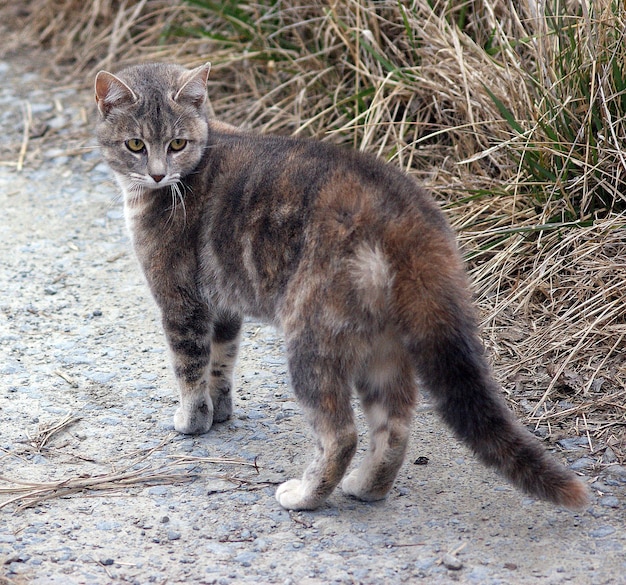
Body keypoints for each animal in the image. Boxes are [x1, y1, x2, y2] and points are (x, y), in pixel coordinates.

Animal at [92, 62, 584, 512]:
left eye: (177, 144)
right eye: (136, 144)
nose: (158, 174)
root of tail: (407, 214)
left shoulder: (181, 299)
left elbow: (190, 366)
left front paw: (193, 420)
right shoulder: (225, 306)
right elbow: (221, 362)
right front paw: (221, 411)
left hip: (312, 337)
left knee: (341, 433)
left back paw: (305, 496)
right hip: (383, 345)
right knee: (395, 426)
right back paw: (366, 487)